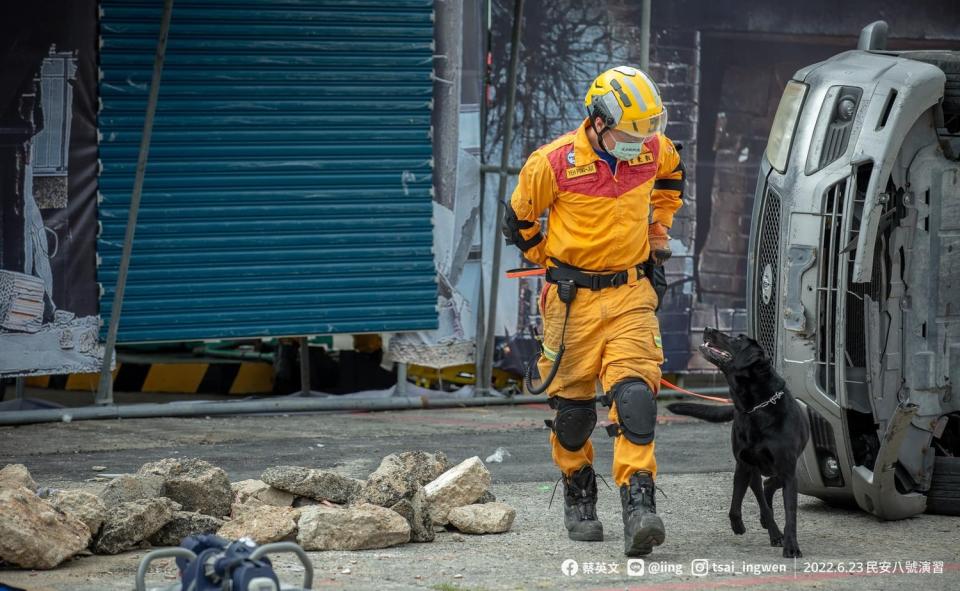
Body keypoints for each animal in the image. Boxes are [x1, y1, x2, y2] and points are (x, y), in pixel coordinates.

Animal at [668, 326, 808, 556]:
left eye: (737, 339)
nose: (707, 328)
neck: (755, 407)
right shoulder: (746, 464)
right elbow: (747, 503)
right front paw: (747, 526)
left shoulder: (788, 471)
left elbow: (790, 513)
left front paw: (791, 546)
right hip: (753, 470)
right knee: (760, 491)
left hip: (785, 470)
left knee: (771, 484)